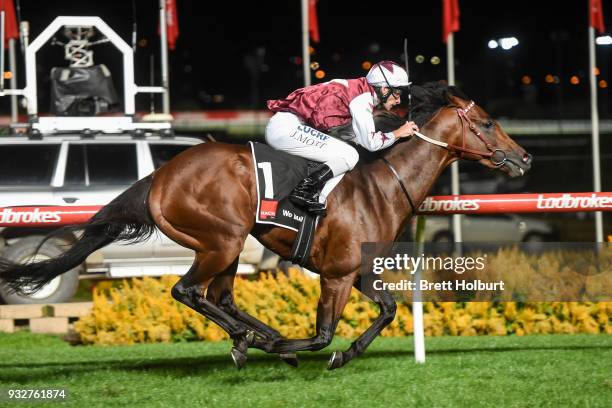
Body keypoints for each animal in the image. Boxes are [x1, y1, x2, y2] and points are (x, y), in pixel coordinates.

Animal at [0, 82, 532, 370]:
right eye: (487, 122)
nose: (524, 158)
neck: (381, 185)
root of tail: (161, 175)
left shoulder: (356, 271)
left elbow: (388, 311)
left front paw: (332, 352)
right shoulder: (336, 275)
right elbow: (323, 334)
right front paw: (299, 349)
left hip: (228, 247)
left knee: (220, 298)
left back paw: (251, 339)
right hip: (220, 240)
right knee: (188, 292)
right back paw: (256, 341)